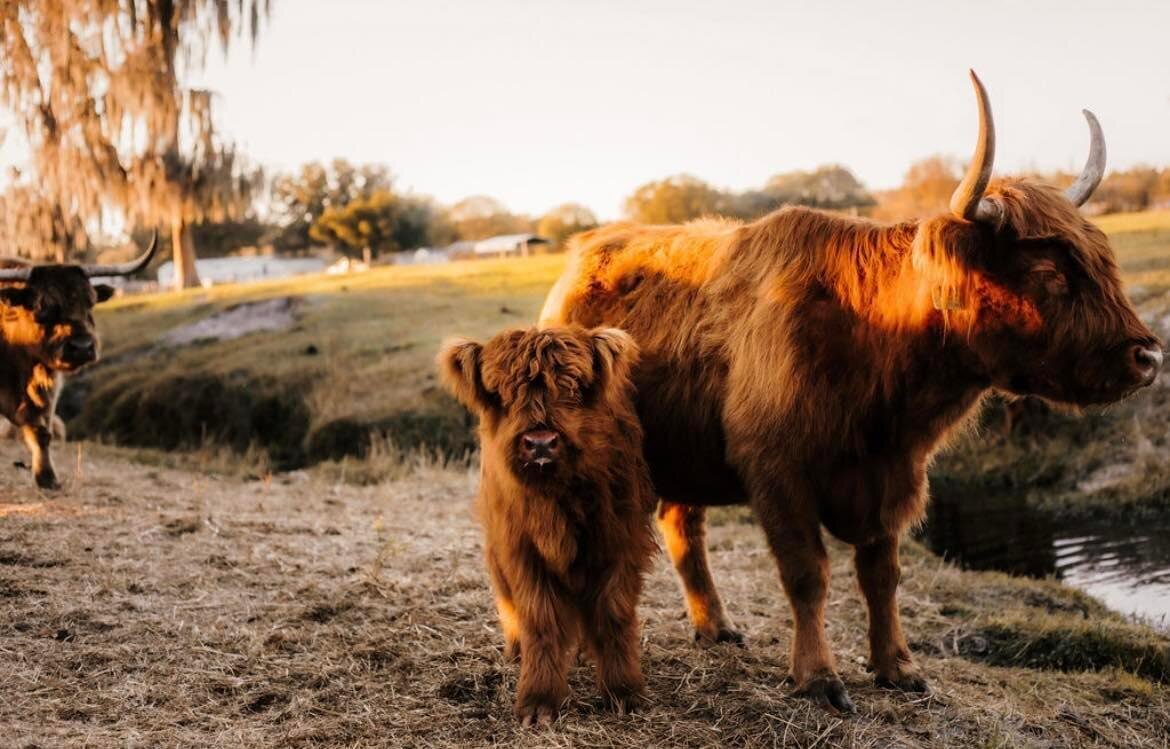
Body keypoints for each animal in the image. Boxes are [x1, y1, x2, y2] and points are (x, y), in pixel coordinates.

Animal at [0, 234, 156, 489]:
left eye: (90, 303)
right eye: (42, 306)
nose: (81, 347)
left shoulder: (47, 391)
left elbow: (41, 432)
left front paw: (47, 478)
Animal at [438, 325, 658, 726]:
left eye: (573, 386)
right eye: (501, 391)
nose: (540, 443)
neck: (555, 498)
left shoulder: (619, 540)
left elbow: (614, 613)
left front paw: (624, 691)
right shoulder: (523, 550)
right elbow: (540, 619)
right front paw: (538, 701)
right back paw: (516, 650)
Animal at [539, 71, 1162, 713]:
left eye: (1103, 261)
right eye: (1049, 273)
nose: (1148, 357)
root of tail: (581, 256)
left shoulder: (895, 475)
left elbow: (881, 576)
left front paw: (898, 666)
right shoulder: (778, 469)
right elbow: (808, 574)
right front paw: (819, 676)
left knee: (682, 524)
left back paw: (716, 625)